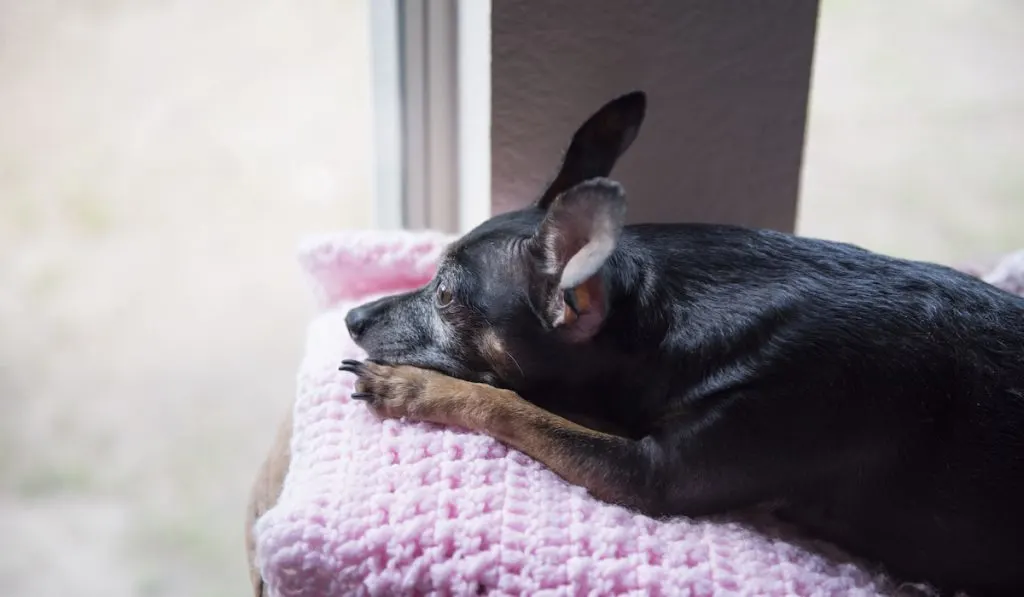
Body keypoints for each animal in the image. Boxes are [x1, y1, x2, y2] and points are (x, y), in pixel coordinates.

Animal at [337, 91, 1024, 593]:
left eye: (446, 296)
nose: (352, 316)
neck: (659, 319)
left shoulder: (651, 476)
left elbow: (510, 406)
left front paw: (408, 385)